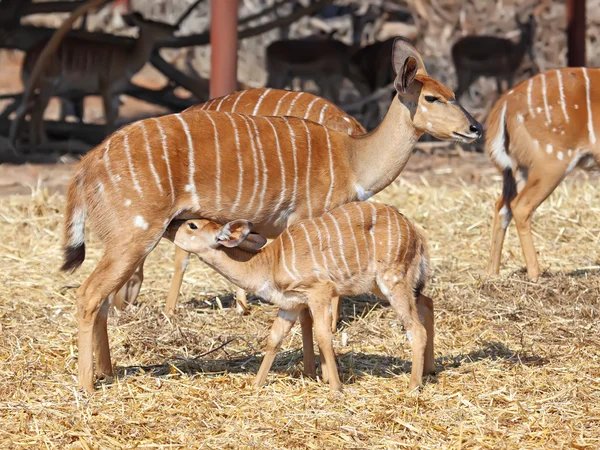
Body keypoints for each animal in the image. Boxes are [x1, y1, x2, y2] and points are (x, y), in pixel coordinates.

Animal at [164, 202, 436, 392]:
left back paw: (413, 386)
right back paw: (430, 370)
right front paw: (256, 384)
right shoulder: (290, 304)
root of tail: (416, 233)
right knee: (426, 302)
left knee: (415, 328)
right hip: (386, 284)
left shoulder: (320, 291)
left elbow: (323, 336)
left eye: (192, 225)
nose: (169, 225)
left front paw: (336, 388)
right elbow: (274, 339)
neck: (269, 263)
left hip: (393, 281)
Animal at [488, 67, 600, 280]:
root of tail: (506, 101)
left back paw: (492, 274)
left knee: (502, 206)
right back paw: (535, 275)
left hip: (518, 171)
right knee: (521, 206)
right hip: (551, 165)